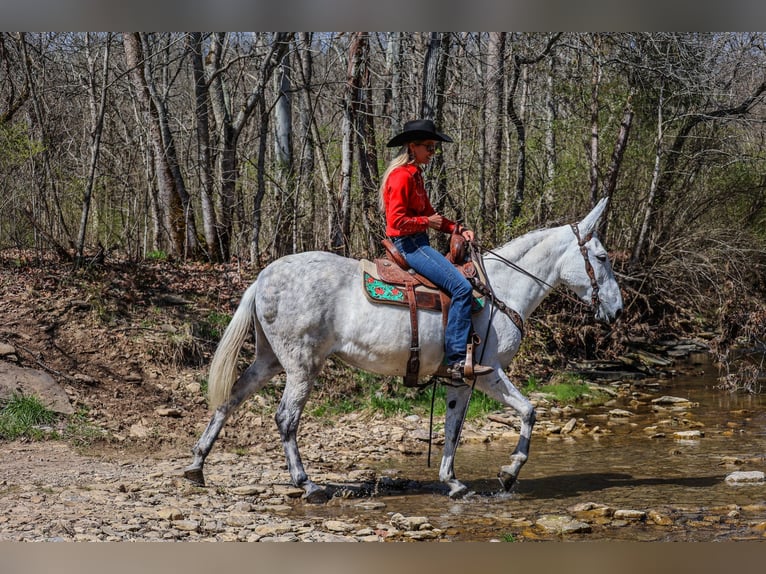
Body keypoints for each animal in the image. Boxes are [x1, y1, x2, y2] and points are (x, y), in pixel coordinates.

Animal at [186, 199, 624, 504]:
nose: (618, 310)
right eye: (602, 257)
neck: (499, 290)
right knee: (285, 419)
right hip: (301, 365)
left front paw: (453, 482)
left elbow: (452, 429)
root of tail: (262, 277)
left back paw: (196, 466)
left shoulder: (461, 380)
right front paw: (509, 472)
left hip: (270, 360)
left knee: (230, 399)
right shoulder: (490, 374)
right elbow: (529, 411)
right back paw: (307, 484)